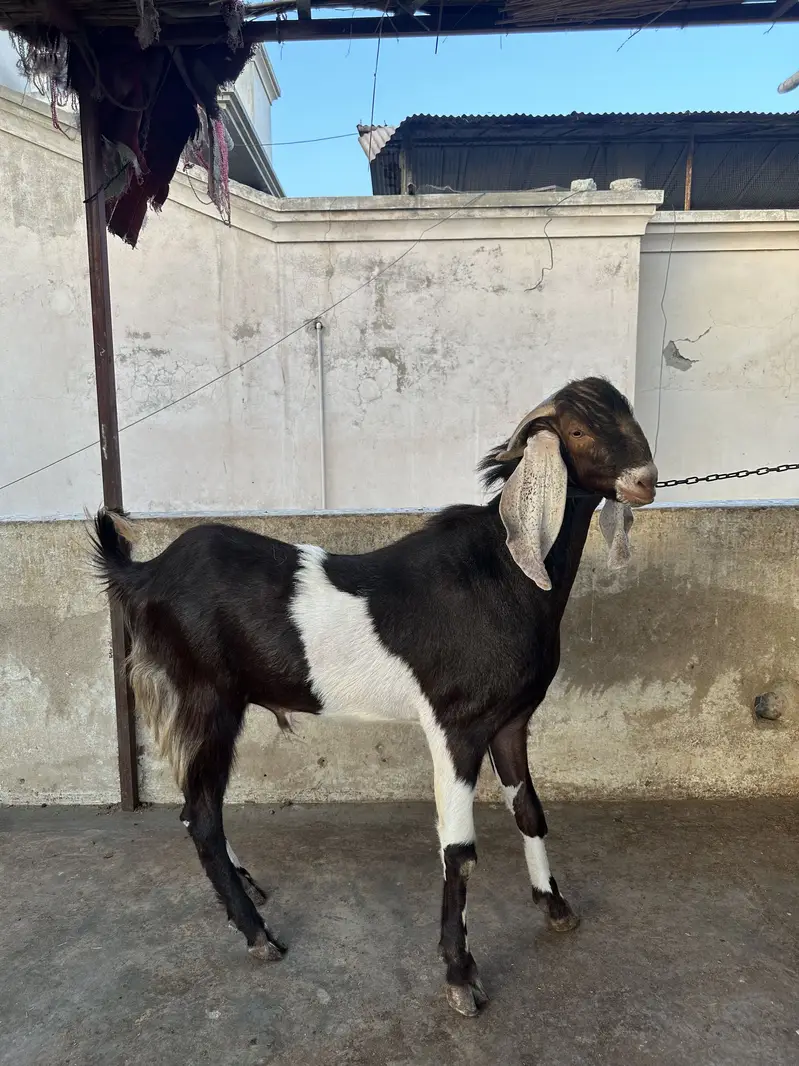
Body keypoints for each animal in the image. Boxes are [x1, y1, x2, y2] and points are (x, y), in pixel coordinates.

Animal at [91, 376, 657, 1017]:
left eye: (629, 414)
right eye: (579, 430)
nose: (646, 480)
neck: (507, 571)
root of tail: (144, 573)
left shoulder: (511, 722)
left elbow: (530, 812)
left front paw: (556, 906)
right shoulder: (454, 724)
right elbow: (459, 849)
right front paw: (461, 975)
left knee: (196, 803)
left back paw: (250, 890)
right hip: (207, 698)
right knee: (200, 814)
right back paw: (259, 935)